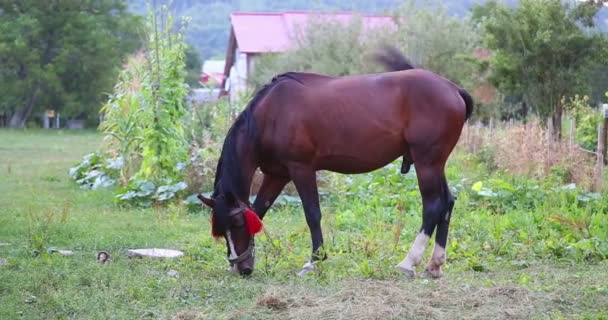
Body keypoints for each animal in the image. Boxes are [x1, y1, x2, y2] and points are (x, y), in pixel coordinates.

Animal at [197, 47, 472, 278]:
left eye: (237, 223)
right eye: (220, 230)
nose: (241, 268)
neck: (270, 115)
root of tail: (453, 89)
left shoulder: (301, 169)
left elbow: (312, 213)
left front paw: (314, 260)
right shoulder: (277, 175)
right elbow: (260, 210)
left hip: (427, 163)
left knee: (433, 205)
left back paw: (408, 262)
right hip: (435, 164)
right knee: (447, 202)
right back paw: (434, 265)